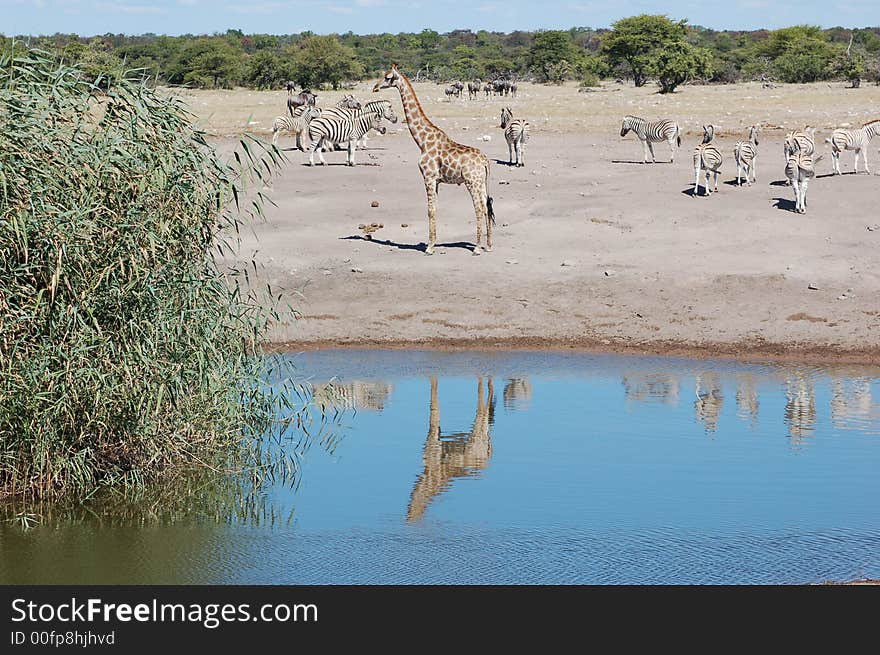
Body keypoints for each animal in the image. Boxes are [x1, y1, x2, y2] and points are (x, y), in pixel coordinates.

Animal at [372, 63, 496, 254]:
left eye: (387, 77)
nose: (375, 87)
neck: (422, 141)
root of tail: (485, 162)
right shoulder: (436, 180)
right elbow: (435, 208)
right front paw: (433, 243)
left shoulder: (428, 177)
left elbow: (430, 210)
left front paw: (429, 247)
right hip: (482, 182)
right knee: (486, 205)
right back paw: (488, 245)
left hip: (471, 181)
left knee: (479, 207)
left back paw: (476, 247)